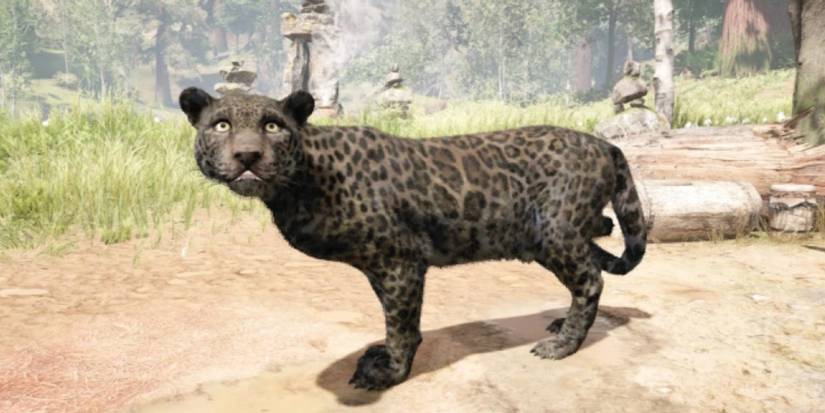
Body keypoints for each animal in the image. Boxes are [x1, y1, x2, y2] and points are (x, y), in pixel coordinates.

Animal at [178, 87, 647, 391]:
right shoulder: (378, 267)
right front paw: (384, 356)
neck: (302, 183)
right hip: (552, 236)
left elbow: (401, 321)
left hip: (555, 232)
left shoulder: (399, 262)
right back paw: (560, 322)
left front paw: (390, 372)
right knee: (598, 249)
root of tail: (605, 144)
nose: (248, 155)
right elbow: (394, 315)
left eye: (273, 126)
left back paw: (561, 343)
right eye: (221, 125)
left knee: (591, 278)